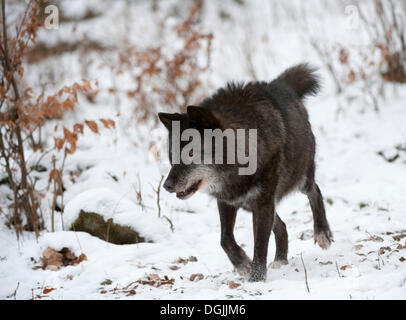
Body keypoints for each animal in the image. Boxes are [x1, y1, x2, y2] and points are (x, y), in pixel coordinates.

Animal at [159, 63, 334, 282]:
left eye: (191, 152)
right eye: (171, 155)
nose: (167, 186)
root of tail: (280, 84)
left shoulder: (262, 201)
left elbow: (259, 245)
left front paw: (256, 280)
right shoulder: (227, 201)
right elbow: (225, 239)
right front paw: (243, 265)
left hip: (298, 180)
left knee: (315, 191)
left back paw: (322, 233)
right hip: (253, 205)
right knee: (282, 226)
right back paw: (280, 260)